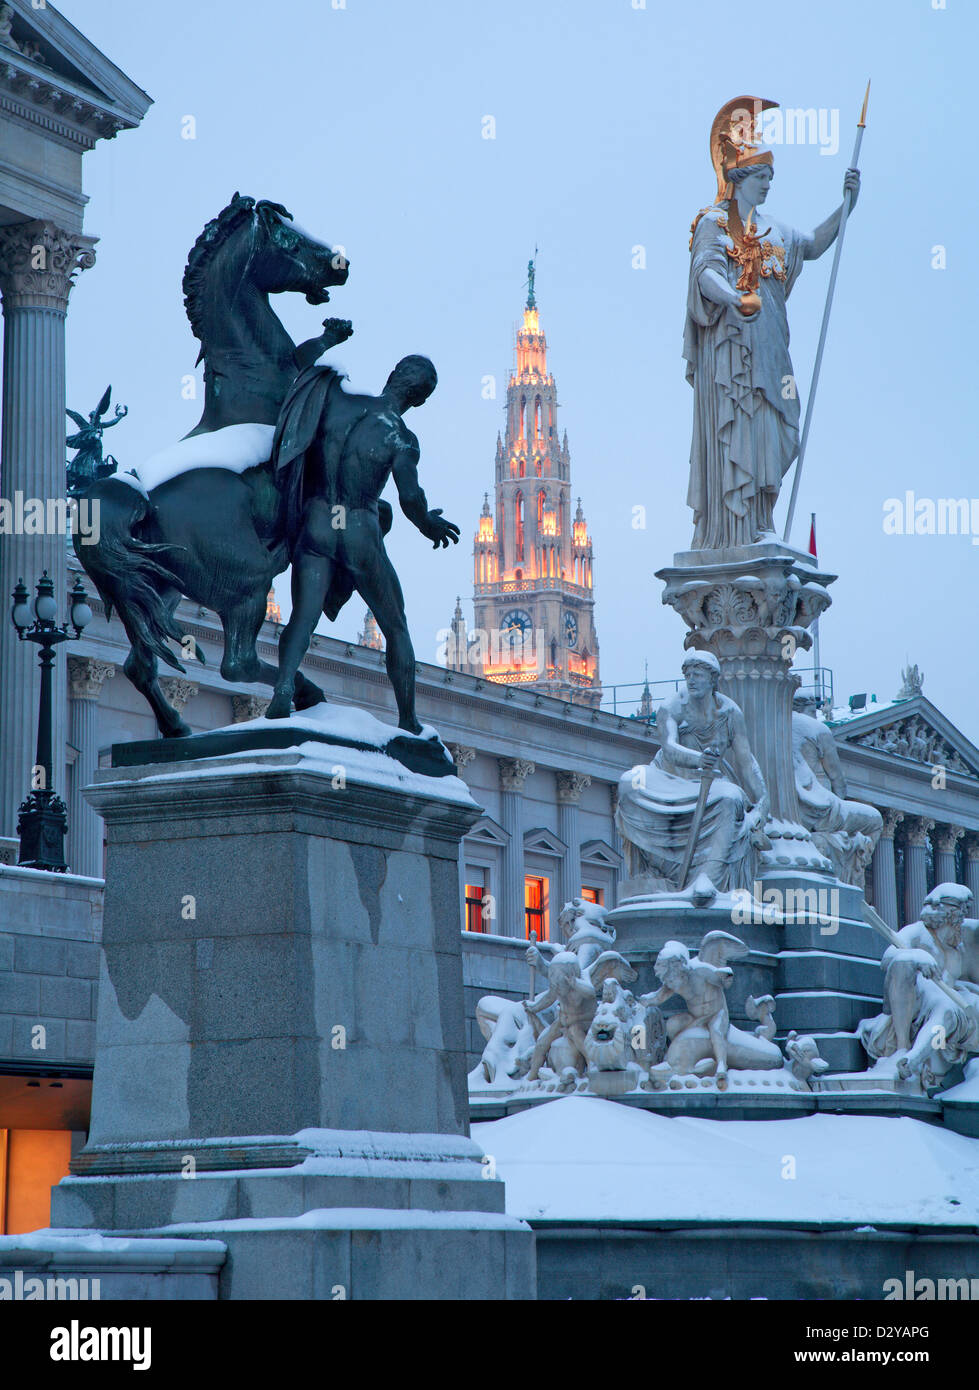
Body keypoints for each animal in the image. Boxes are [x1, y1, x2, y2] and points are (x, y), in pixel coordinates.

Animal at [76, 198, 351, 739]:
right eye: (288, 239)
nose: (342, 263)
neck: (253, 383)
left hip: (158, 589)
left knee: (141, 664)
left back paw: (178, 730)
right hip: (245, 583)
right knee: (237, 665)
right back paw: (304, 695)